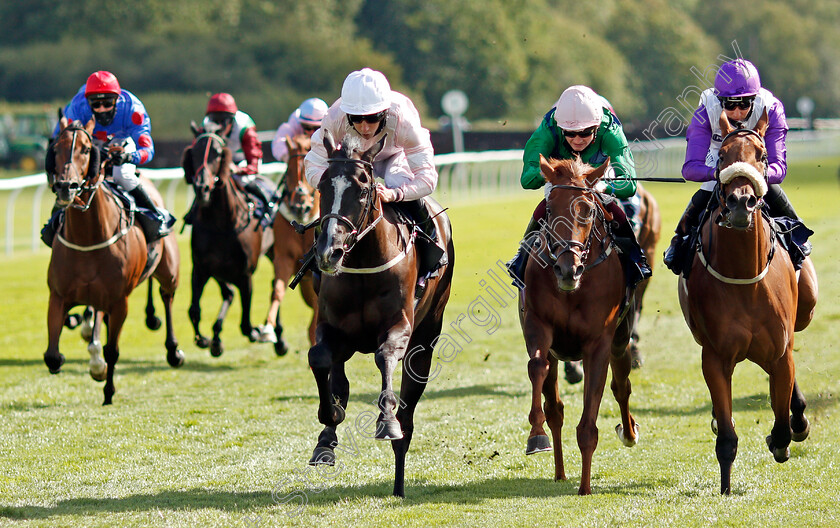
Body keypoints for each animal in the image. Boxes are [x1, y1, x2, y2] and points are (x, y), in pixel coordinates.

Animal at [182, 125, 264, 354]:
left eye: (218, 153)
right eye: (194, 152)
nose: (202, 188)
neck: (223, 225)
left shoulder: (245, 274)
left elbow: (246, 324)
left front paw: (257, 332)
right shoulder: (201, 268)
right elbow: (193, 310)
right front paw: (204, 339)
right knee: (228, 294)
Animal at [306, 130, 452, 498]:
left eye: (362, 189)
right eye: (323, 187)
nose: (329, 252)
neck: (362, 264)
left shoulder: (399, 326)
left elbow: (385, 356)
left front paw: (386, 421)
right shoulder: (332, 328)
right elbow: (320, 359)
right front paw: (329, 419)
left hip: (427, 336)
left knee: (410, 406)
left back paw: (399, 479)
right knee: (337, 373)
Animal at [676, 111, 820, 496]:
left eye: (761, 154)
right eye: (722, 157)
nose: (741, 203)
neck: (744, 275)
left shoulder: (779, 351)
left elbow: (782, 424)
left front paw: (782, 436)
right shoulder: (715, 356)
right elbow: (726, 436)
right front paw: (725, 488)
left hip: (805, 310)